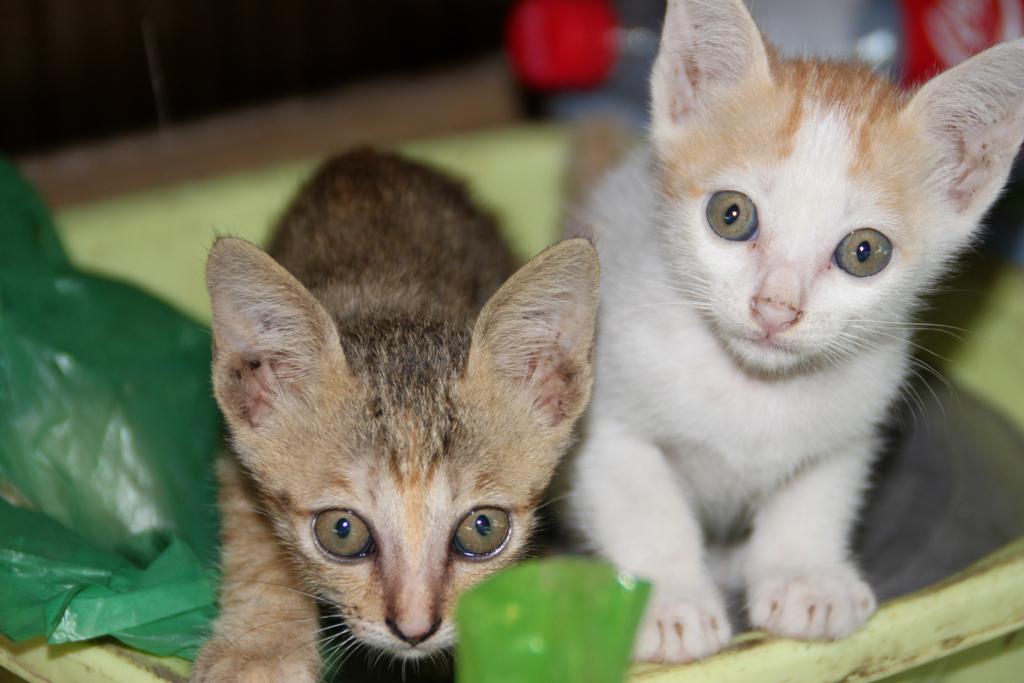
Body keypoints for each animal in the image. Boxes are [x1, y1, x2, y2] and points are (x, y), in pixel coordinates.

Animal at [192, 152, 598, 679]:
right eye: (341, 531)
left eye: (482, 528)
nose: (415, 628)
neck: (395, 303)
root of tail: (364, 156)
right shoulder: (232, 451)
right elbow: (253, 547)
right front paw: (258, 651)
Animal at [569, 0, 1024, 663]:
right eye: (731, 215)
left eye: (865, 252)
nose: (776, 307)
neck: (755, 387)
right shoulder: (609, 424)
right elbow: (646, 507)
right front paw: (669, 603)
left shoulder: (852, 425)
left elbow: (814, 498)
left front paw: (805, 578)